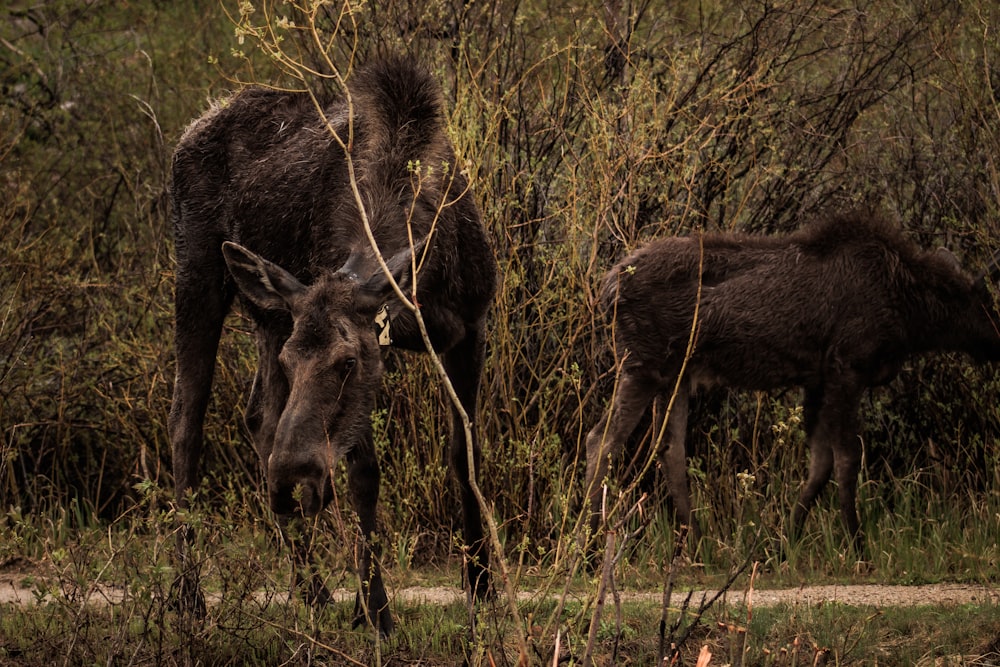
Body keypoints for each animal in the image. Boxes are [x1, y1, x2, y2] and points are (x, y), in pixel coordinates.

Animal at [173, 54, 500, 636]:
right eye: (297, 362)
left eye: (347, 362)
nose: (290, 476)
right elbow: (364, 475)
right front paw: (376, 610)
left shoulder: (469, 327)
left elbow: (465, 457)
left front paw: (481, 590)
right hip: (198, 278)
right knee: (186, 428)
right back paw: (188, 596)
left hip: (268, 316)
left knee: (259, 419)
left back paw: (314, 590)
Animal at [584, 211, 1000, 556]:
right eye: (983, 302)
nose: (997, 341)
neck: (909, 316)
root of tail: (607, 287)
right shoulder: (846, 367)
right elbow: (848, 459)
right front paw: (858, 547)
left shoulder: (817, 379)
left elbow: (820, 463)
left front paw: (783, 542)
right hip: (643, 364)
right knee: (602, 439)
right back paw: (591, 546)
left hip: (676, 375)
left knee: (669, 450)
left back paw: (696, 546)